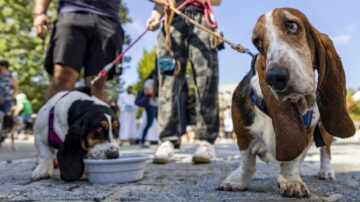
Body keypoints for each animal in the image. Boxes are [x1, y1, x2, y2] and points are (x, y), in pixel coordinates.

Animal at [218, 7, 356, 197]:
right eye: (257, 43)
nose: (274, 77)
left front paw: (291, 182)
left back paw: (326, 171)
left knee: (325, 150)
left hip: (323, 128)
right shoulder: (242, 134)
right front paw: (237, 181)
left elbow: (291, 160)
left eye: (291, 25)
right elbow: (247, 162)